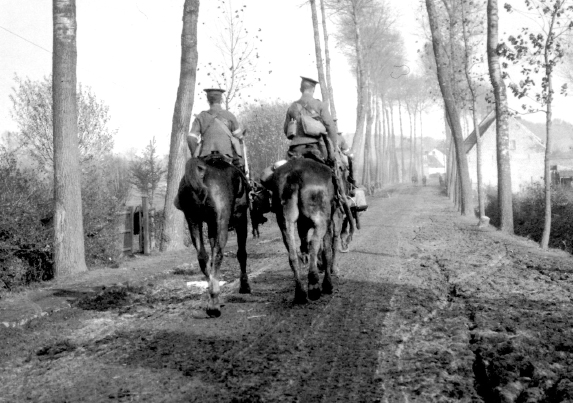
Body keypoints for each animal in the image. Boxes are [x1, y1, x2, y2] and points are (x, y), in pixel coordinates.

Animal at [175, 156, 249, 318]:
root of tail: (201, 167)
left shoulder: (210, 228)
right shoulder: (241, 219)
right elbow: (242, 254)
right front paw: (245, 285)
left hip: (193, 220)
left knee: (203, 257)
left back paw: (213, 299)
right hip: (222, 222)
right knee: (218, 255)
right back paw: (214, 305)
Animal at [266, 158, 342, 304]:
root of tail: (294, 176)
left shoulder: (302, 224)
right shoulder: (329, 220)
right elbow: (327, 252)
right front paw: (328, 285)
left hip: (284, 219)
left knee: (293, 253)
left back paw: (300, 293)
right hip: (321, 219)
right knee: (314, 244)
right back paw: (314, 287)